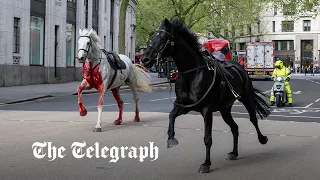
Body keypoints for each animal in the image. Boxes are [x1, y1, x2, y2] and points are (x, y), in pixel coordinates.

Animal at [141, 17, 272, 174]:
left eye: (162, 38)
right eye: (152, 37)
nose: (145, 59)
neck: (191, 74)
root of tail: (239, 66)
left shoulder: (206, 110)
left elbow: (207, 138)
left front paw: (206, 164)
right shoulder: (183, 106)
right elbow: (171, 116)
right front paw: (171, 138)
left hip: (247, 98)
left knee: (253, 119)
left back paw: (262, 139)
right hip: (225, 109)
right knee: (234, 127)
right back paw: (234, 153)